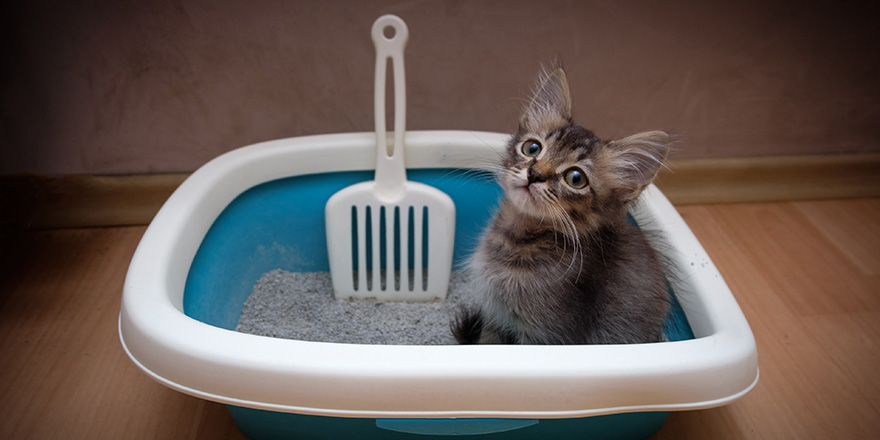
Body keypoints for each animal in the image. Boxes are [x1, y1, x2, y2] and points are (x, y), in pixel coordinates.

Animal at [454, 65, 672, 346]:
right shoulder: (494, 315)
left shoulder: (547, 334)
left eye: (576, 178)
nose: (534, 174)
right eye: (532, 148)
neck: (515, 240)